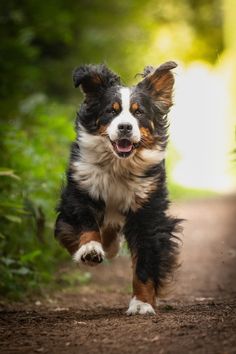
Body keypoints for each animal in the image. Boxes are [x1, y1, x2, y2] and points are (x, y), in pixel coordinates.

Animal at [54, 60, 181, 316]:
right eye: (111, 111)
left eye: (138, 112)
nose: (124, 127)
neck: (118, 166)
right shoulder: (80, 190)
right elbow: (83, 223)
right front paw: (89, 249)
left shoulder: (147, 210)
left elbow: (144, 261)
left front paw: (142, 303)